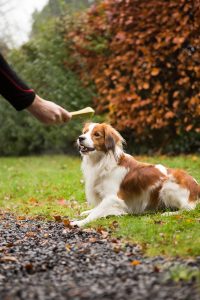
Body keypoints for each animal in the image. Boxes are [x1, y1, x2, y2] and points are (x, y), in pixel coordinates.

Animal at [71, 123, 199, 226]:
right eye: (85, 132)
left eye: (96, 134)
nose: (80, 138)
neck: (102, 162)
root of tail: (196, 185)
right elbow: (96, 209)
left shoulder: (113, 198)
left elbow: (96, 212)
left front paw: (79, 222)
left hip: (167, 186)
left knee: (188, 209)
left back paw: (168, 213)